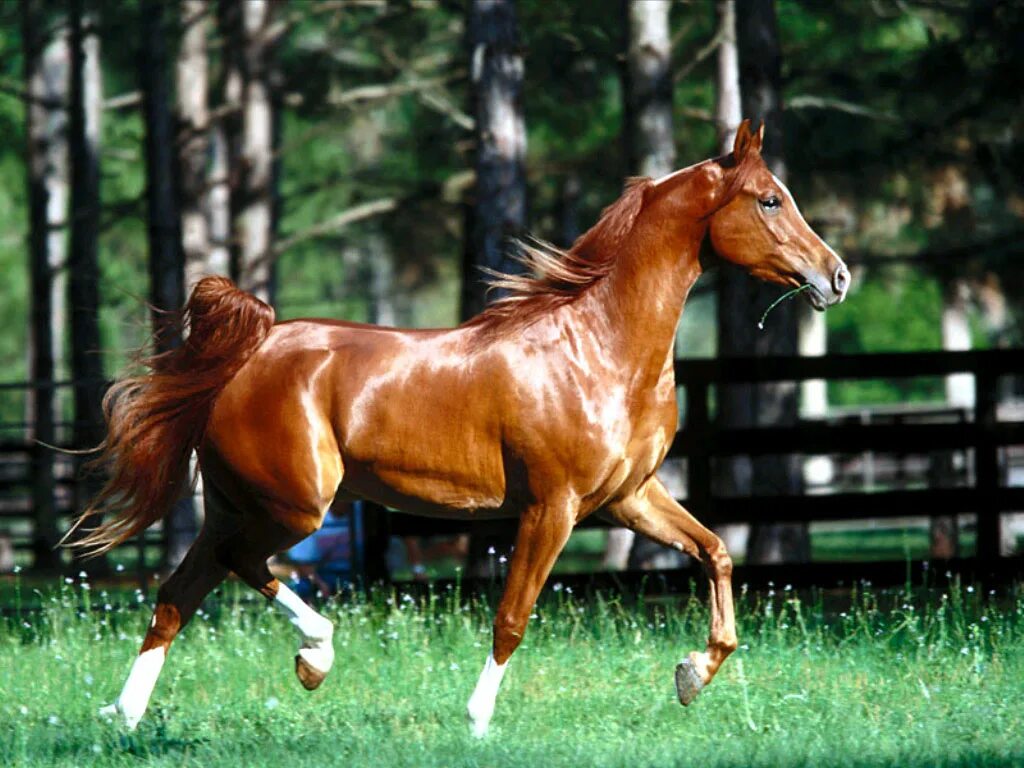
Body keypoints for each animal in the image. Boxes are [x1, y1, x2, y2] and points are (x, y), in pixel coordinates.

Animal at [74, 121, 847, 741]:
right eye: (770, 198)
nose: (836, 277)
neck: (599, 347)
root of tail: (251, 352)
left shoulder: (629, 497)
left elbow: (716, 553)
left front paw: (690, 675)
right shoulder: (552, 507)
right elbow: (513, 616)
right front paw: (477, 720)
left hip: (239, 503)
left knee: (178, 593)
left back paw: (124, 715)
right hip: (295, 506)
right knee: (237, 566)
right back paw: (315, 655)